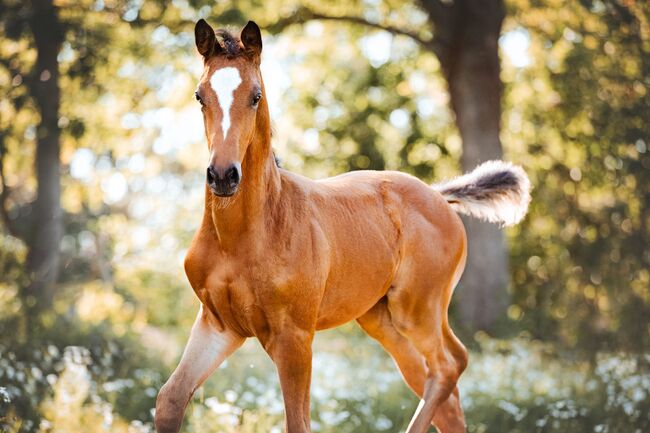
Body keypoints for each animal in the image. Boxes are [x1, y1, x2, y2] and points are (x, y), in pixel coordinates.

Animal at [154, 18, 528, 430]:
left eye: (255, 96)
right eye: (199, 96)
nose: (223, 176)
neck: (246, 235)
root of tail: (436, 194)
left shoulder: (294, 337)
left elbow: (298, 422)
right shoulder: (218, 325)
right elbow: (170, 399)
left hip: (417, 309)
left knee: (450, 364)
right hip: (381, 319)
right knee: (441, 388)